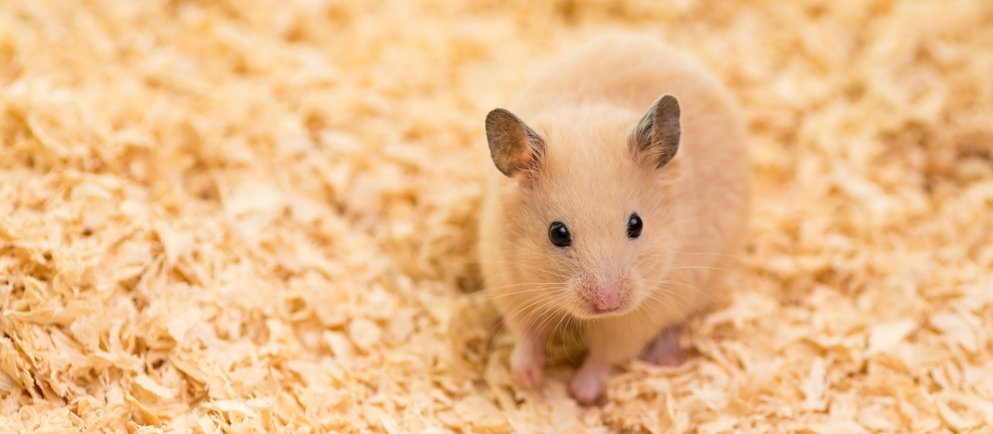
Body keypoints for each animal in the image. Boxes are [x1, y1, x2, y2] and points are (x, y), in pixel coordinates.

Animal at [477, 34, 749, 405]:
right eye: (557, 233)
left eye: (637, 225)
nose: (607, 304)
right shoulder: (510, 282)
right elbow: (525, 334)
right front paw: (527, 379)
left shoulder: (642, 314)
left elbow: (605, 355)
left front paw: (581, 393)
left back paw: (665, 359)